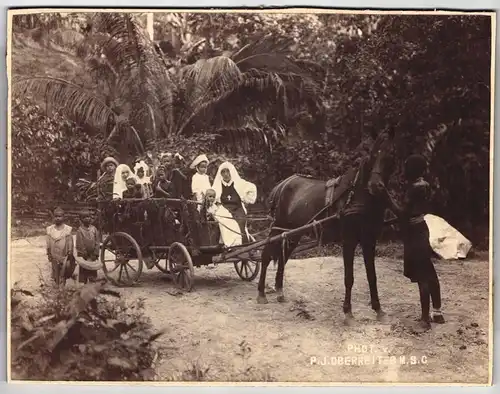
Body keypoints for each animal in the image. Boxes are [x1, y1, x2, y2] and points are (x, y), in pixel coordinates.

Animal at [256, 130, 396, 326]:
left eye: (390, 155)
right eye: (373, 155)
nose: (376, 186)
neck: (356, 197)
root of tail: (282, 185)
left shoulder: (370, 240)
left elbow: (372, 277)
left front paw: (378, 310)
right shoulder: (349, 240)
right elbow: (349, 277)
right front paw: (348, 312)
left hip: (293, 233)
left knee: (283, 257)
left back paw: (279, 291)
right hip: (278, 228)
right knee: (266, 256)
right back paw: (261, 293)